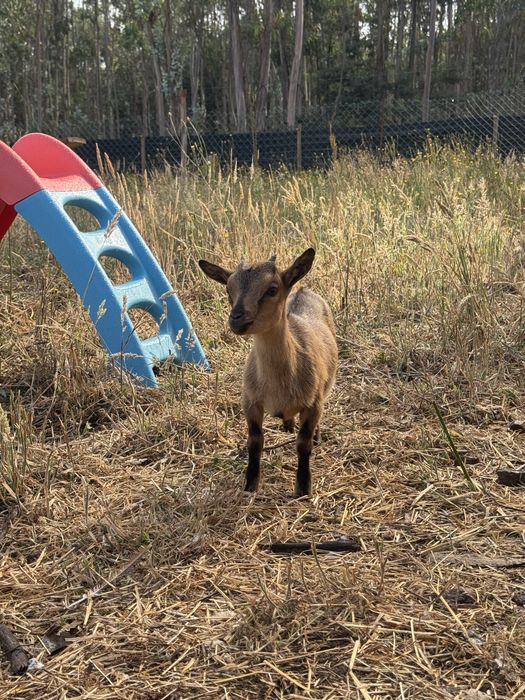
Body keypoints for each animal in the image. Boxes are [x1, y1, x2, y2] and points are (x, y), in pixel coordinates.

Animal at [198, 248, 338, 497]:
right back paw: (287, 425)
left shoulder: (314, 404)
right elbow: (255, 442)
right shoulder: (251, 402)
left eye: (272, 289)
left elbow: (303, 443)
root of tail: (302, 288)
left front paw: (303, 488)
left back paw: (316, 436)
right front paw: (250, 486)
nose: (236, 318)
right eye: (228, 289)